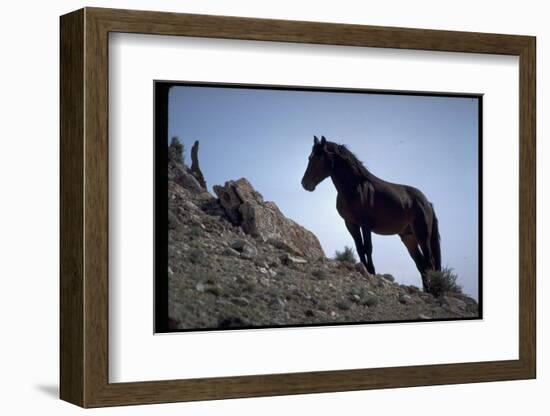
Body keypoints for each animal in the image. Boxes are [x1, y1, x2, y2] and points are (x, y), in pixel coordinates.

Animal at [302, 135, 444, 290]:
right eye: (309, 157)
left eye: (318, 158)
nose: (305, 183)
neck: (354, 187)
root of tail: (427, 203)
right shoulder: (350, 224)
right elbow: (360, 248)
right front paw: (364, 269)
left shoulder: (365, 224)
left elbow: (368, 247)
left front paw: (371, 271)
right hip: (408, 237)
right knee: (421, 265)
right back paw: (427, 291)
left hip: (422, 235)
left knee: (429, 262)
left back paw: (433, 290)